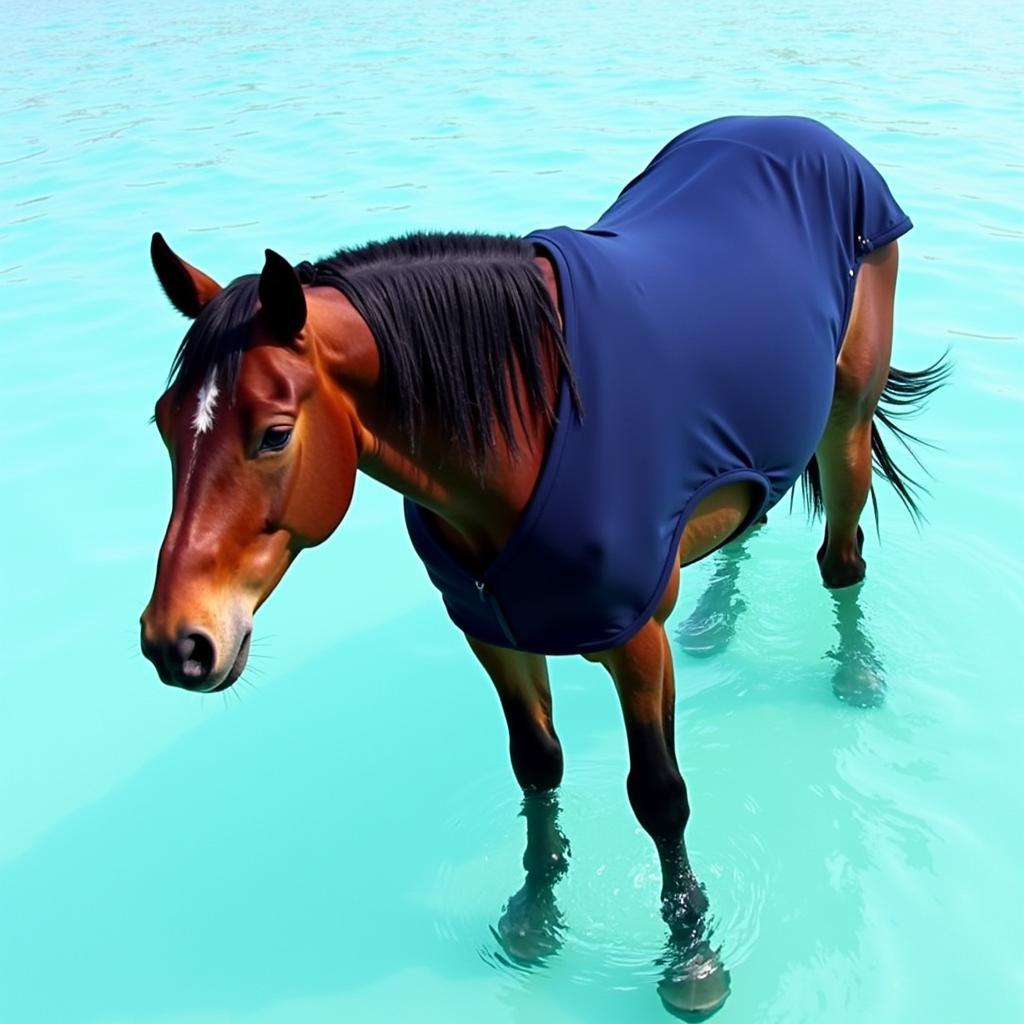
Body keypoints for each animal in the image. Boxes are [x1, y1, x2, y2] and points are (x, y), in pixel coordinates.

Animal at [140, 117, 946, 1015]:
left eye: (274, 434)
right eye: (165, 422)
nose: (178, 641)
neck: (526, 421)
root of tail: (805, 132)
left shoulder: (635, 641)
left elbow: (659, 797)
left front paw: (691, 956)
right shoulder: (490, 627)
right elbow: (536, 763)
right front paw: (534, 910)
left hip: (847, 414)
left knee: (842, 558)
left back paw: (855, 674)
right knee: (752, 514)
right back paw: (714, 618)